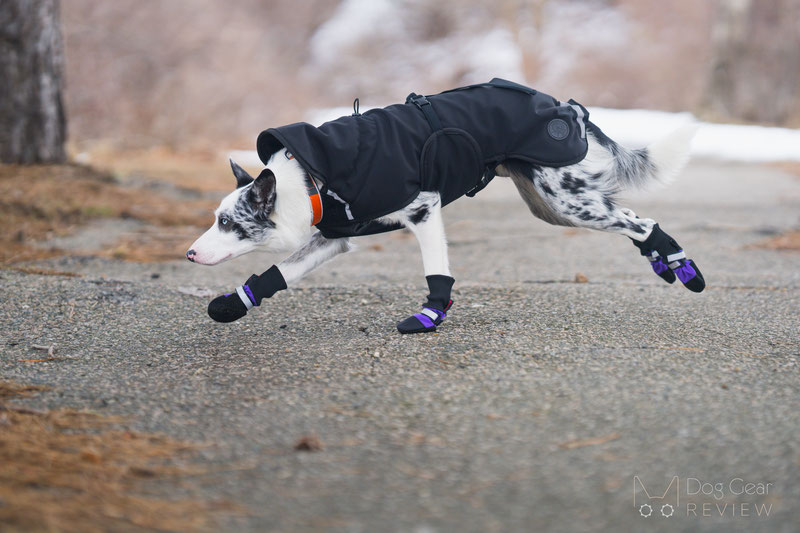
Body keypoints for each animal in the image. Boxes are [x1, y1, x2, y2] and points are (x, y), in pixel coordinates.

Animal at [184, 78, 704, 332]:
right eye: (215, 219)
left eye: (228, 222)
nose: (188, 254)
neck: (313, 176)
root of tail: (567, 107)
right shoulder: (333, 238)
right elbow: (279, 273)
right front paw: (233, 303)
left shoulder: (424, 211)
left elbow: (437, 273)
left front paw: (429, 317)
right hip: (553, 206)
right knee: (632, 219)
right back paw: (665, 263)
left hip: (567, 202)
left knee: (642, 223)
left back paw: (682, 266)